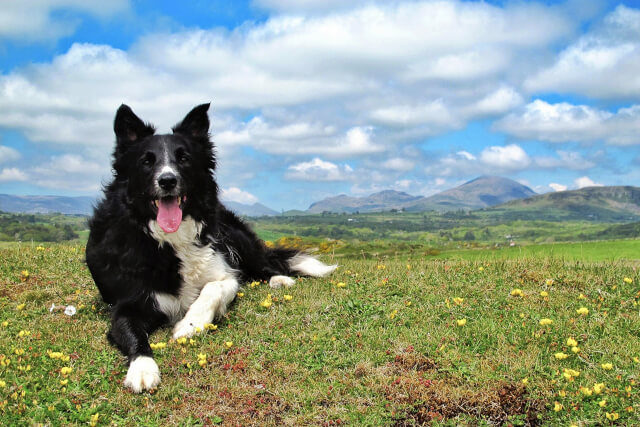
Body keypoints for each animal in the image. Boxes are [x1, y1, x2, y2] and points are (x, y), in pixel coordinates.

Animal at [87, 105, 338, 392]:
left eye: (184, 158)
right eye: (146, 161)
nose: (167, 180)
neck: (171, 241)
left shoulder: (226, 274)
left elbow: (213, 289)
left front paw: (190, 324)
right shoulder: (127, 305)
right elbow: (133, 334)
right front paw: (142, 368)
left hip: (236, 236)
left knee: (267, 265)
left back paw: (279, 279)